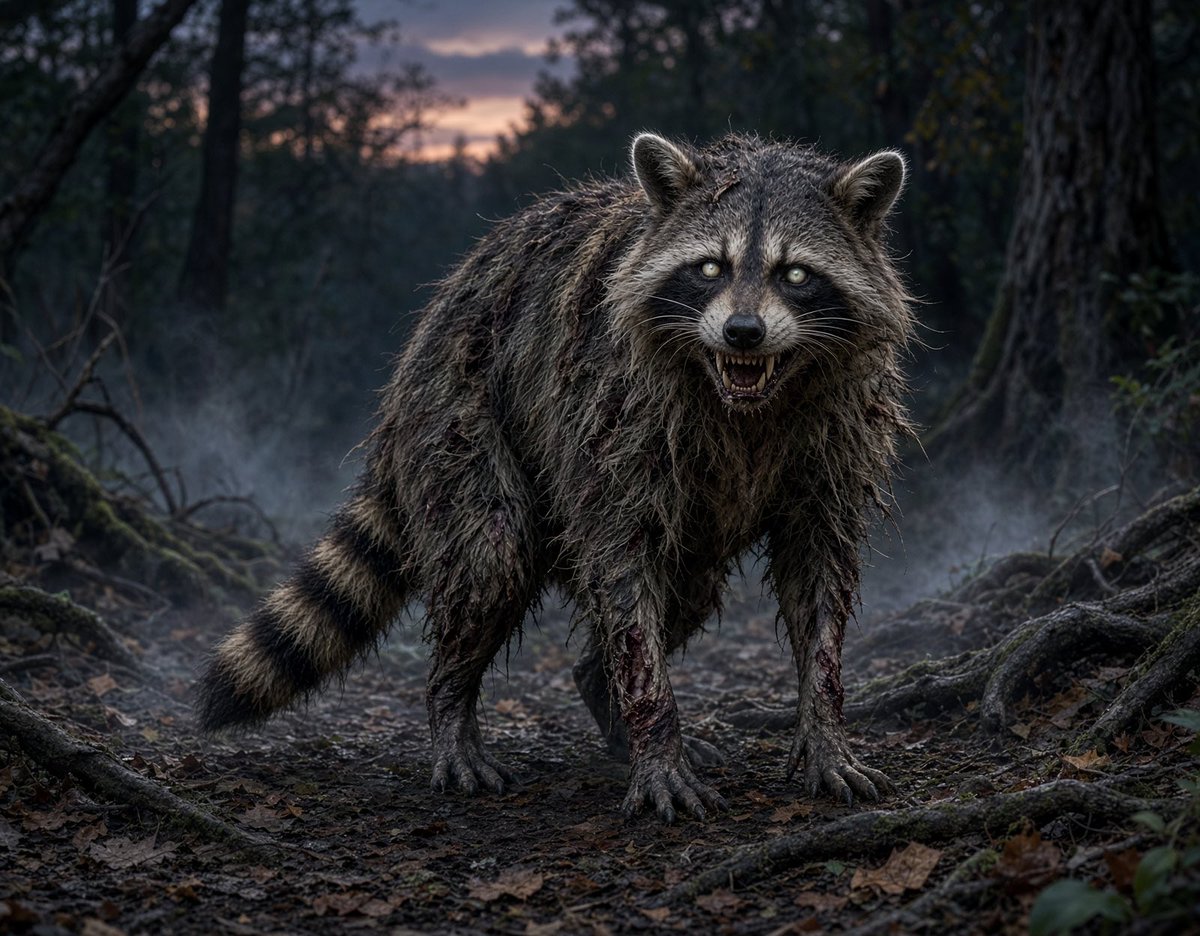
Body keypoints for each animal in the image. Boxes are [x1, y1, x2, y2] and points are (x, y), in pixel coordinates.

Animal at [197, 132, 914, 823]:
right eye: (711, 267)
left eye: (796, 274)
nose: (743, 332)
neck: (748, 400)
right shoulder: (612, 413)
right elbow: (620, 564)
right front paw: (656, 732)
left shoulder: (837, 435)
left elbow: (818, 578)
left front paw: (824, 724)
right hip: (460, 407)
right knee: (493, 554)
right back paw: (454, 700)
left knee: (680, 590)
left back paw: (602, 690)